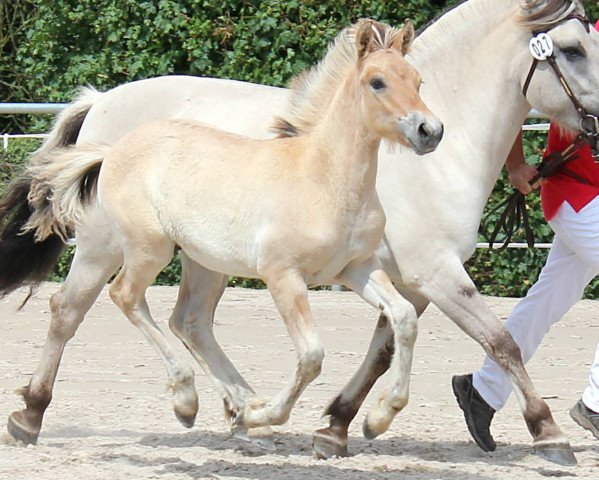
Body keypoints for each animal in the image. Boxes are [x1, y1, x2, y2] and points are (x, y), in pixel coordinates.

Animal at [1, 0, 599, 466]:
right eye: (573, 49)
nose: (429, 132)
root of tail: (99, 101)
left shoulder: (400, 280)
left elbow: (386, 347)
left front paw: (340, 426)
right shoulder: (435, 272)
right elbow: (501, 341)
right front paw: (548, 432)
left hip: (205, 258)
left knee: (189, 320)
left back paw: (242, 412)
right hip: (109, 245)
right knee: (72, 309)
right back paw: (32, 415)